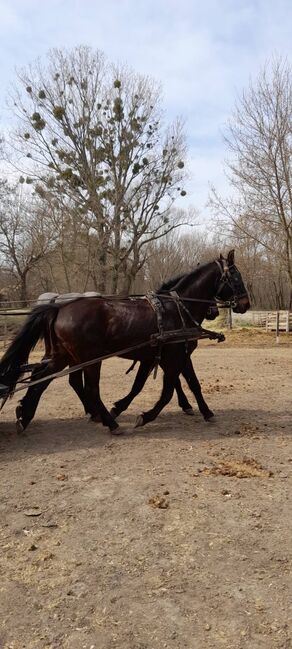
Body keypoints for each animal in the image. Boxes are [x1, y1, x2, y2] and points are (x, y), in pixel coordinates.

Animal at [0, 251, 251, 432]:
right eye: (236, 278)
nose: (245, 304)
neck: (176, 308)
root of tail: (59, 307)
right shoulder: (174, 356)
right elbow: (168, 390)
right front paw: (145, 416)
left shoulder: (161, 356)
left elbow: (183, 383)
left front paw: (205, 411)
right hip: (90, 359)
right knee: (89, 388)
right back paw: (109, 423)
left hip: (61, 356)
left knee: (40, 380)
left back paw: (24, 415)